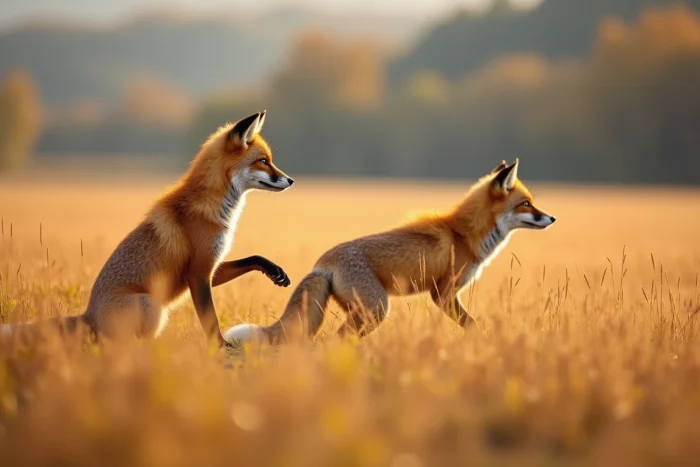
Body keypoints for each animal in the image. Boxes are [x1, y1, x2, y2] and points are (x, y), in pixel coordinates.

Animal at [3, 110, 294, 352]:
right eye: (263, 161)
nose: (290, 180)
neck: (214, 209)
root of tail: (89, 316)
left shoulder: (209, 267)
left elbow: (253, 258)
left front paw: (274, 271)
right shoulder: (198, 272)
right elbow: (210, 320)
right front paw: (220, 347)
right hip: (151, 304)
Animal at [223, 159, 555, 346]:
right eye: (526, 204)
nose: (551, 218)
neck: (463, 235)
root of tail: (322, 263)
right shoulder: (443, 293)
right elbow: (472, 326)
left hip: (363, 312)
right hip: (377, 309)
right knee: (334, 340)